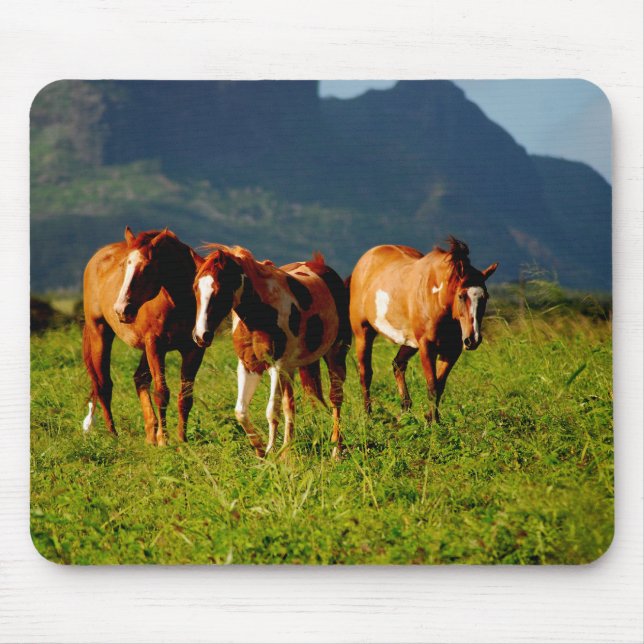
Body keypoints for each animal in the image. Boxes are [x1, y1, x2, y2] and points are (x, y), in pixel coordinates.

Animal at [82, 227, 206, 445]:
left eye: (147, 268)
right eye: (123, 265)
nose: (121, 309)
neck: (179, 303)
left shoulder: (193, 350)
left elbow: (185, 397)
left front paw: (181, 440)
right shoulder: (155, 346)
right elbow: (161, 393)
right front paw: (165, 441)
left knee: (139, 379)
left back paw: (150, 435)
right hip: (100, 333)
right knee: (104, 385)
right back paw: (114, 437)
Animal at [192, 245, 351, 458]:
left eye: (219, 289)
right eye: (195, 288)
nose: (201, 336)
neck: (260, 313)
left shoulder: (277, 366)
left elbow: (272, 411)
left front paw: (273, 452)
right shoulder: (248, 366)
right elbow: (241, 411)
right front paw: (262, 452)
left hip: (335, 353)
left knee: (335, 398)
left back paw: (336, 450)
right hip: (292, 369)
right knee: (291, 405)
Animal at [348, 237, 498, 422]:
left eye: (486, 297)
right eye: (461, 296)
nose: (473, 339)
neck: (437, 298)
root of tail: (365, 260)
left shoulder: (451, 350)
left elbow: (439, 385)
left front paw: (431, 418)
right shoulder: (427, 347)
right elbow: (432, 386)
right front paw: (433, 423)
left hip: (410, 342)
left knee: (398, 365)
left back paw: (405, 410)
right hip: (363, 334)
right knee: (365, 374)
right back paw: (369, 416)